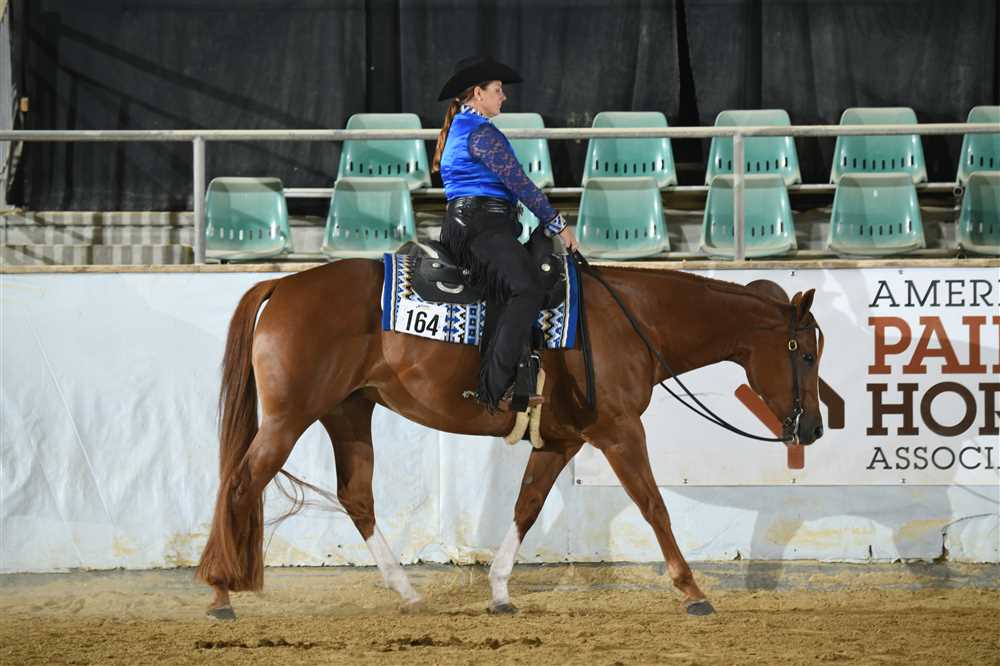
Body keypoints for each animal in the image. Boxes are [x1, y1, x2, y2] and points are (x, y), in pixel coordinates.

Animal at [194, 258, 825, 619]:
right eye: (808, 354)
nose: (815, 428)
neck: (631, 319)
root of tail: (284, 284)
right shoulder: (620, 430)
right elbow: (654, 506)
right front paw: (692, 591)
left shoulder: (560, 442)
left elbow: (527, 505)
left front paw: (499, 592)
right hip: (289, 418)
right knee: (240, 484)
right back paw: (220, 594)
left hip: (348, 412)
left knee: (355, 496)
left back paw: (406, 592)